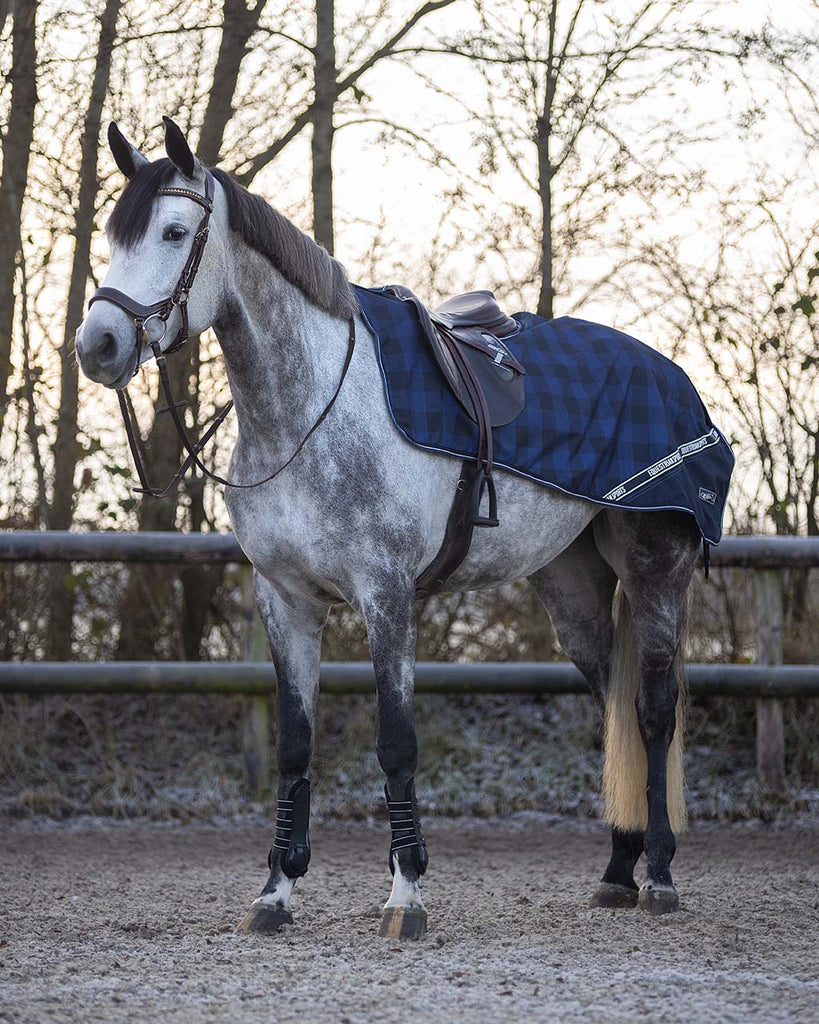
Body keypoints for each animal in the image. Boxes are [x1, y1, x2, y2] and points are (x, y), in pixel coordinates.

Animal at [76, 117, 703, 940]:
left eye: (175, 232)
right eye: (114, 235)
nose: (98, 346)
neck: (310, 412)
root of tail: (672, 375)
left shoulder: (386, 596)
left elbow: (396, 744)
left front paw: (406, 894)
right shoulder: (286, 601)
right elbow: (295, 746)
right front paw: (276, 891)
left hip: (656, 569)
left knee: (652, 714)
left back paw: (658, 875)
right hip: (572, 588)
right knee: (614, 710)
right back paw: (616, 873)